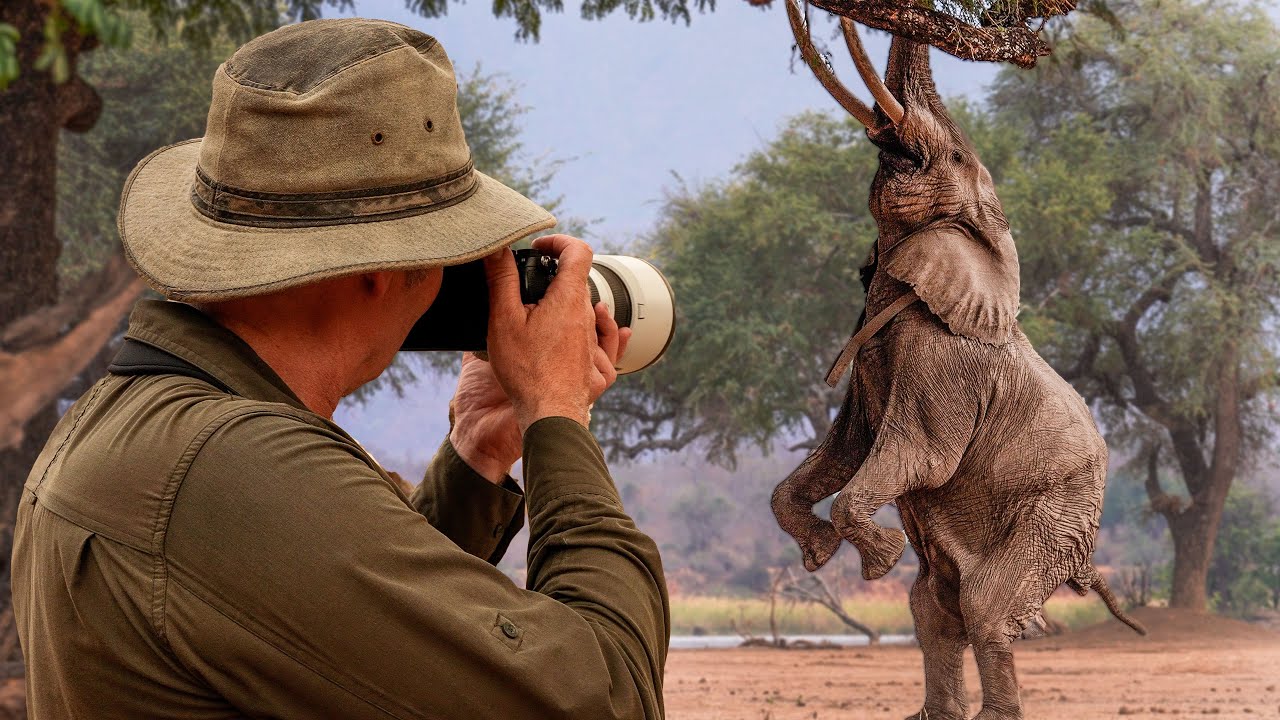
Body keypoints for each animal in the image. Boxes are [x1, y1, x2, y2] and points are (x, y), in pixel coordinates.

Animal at [770, 6, 1146, 719]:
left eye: (950, 157)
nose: (823, 17)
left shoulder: (945, 361)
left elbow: (919, 454)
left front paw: (878, 558)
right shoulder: (868, 359)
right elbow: (844, 447)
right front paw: (820, 553)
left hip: (1057, 512)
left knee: (985, 606)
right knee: (932, 607)